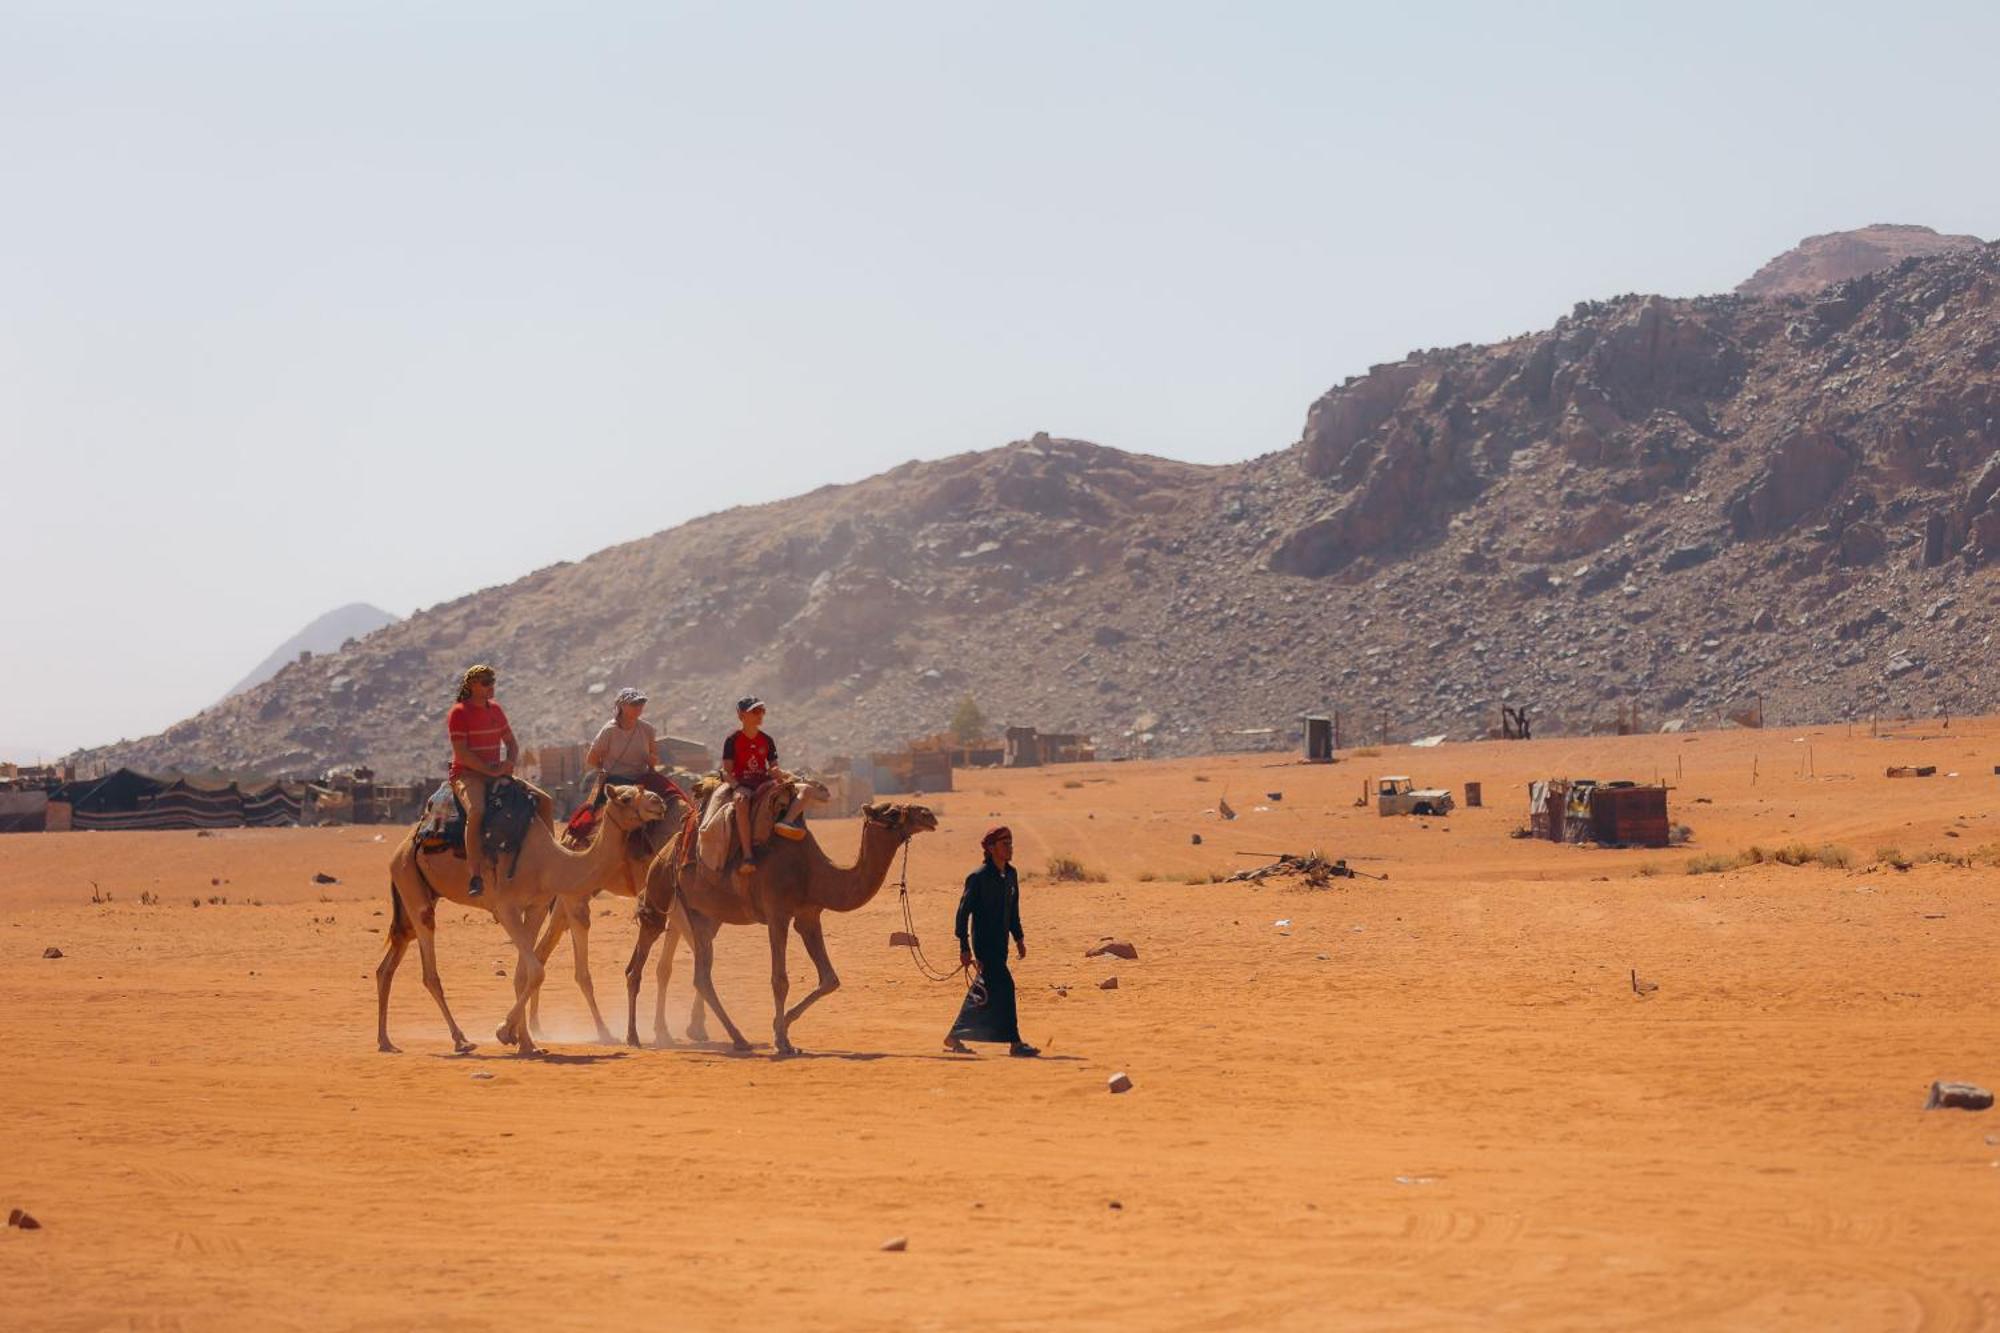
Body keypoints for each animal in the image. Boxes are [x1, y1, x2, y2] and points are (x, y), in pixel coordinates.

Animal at [378, 784, 676, 1056]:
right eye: (625, 797)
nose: (658, 803)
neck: (549, 863)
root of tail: (404, 845)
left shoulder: (536, 907)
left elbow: (524, 974)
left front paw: (526, 1043)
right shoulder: (506, 908)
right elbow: (536, 970)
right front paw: (504, 1031)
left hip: (418, 892)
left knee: (388, 962)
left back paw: (385, 1041)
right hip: (409, 880)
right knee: (429, 968)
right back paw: (460, 1040)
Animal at [624, 792, 936, 1056]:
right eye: (892, 812)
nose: (929, 814)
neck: (814, 873)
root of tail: (665, 851)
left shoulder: (808, 916)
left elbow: (830, 979)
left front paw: (780, 1025)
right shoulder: (778, 915)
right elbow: (779, 980)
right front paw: (782, 1040)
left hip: (704, 916)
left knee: (700, 975)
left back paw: (735, 1039)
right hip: (659, 899)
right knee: (640, 963)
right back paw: (634, 1037)